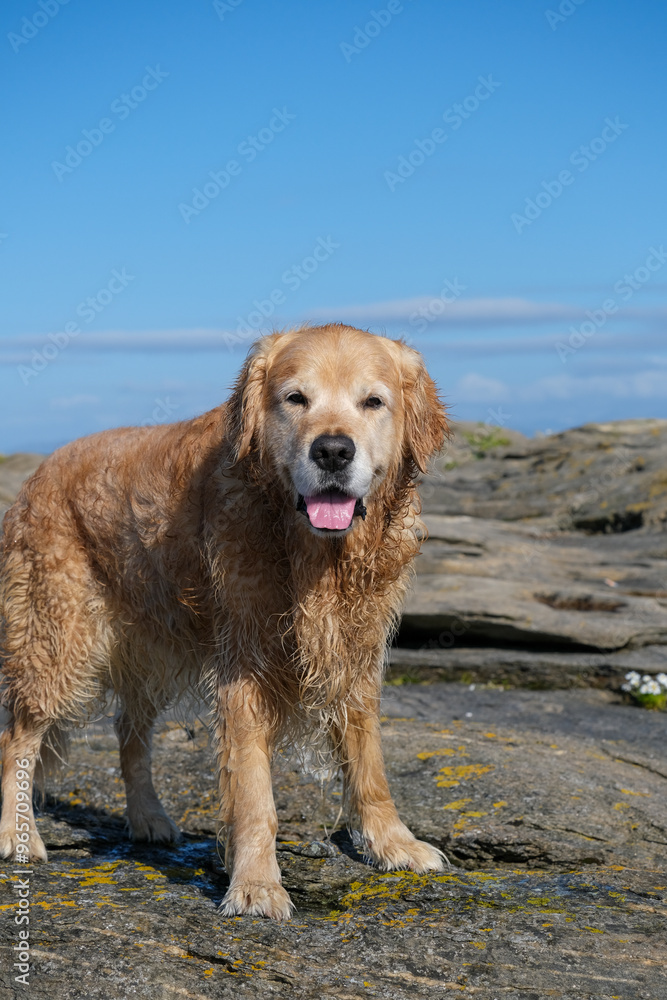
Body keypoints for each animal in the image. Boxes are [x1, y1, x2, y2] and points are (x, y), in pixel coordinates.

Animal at [1, 324, 448, 916]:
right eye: (295, 398)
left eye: (373, 402)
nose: (332, 450)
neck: (309, 551)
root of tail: (39, 472)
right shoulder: (245, 666)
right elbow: (255, 792)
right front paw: (256, 883)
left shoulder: (354, 653)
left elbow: (368, 763)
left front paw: (393, 842)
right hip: (57, 642)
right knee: (18, 738)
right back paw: (17, 834)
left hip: (149, 647)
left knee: (130, 732)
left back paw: (148, 818)